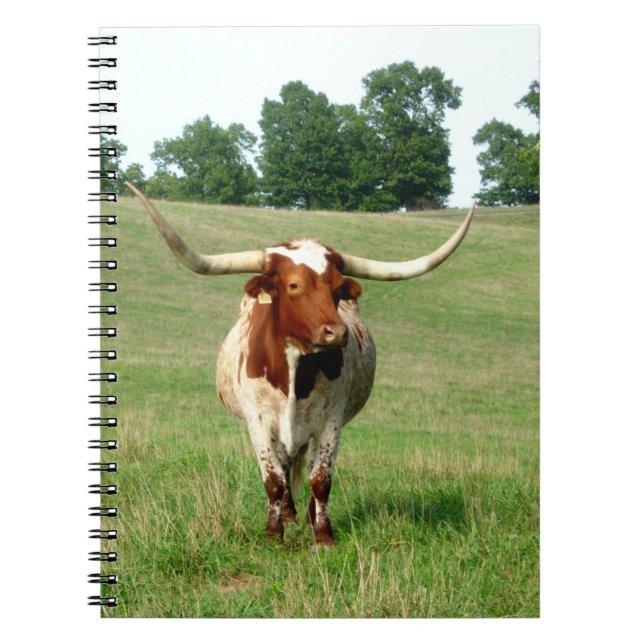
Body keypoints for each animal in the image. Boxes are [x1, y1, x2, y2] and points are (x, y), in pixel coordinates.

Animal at [126, 182, 474, 546]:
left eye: (337, 289)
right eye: (294, 285)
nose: (336, 333)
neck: (295, 371)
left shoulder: (331, 422)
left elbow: (320, 480)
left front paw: (322, 535)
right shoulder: (258, 422)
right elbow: (274, 480)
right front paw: (273, 532)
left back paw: (305, 516)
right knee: (283, 466)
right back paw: (289, 515)